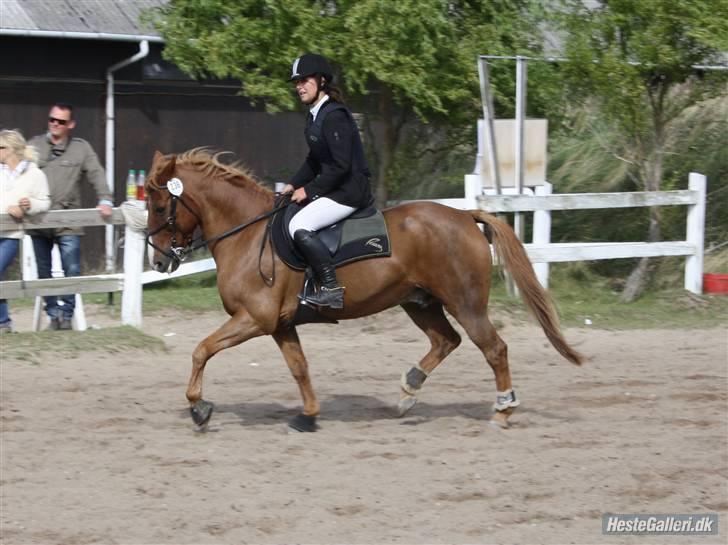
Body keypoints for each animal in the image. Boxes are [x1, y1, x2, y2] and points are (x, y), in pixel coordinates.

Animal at [145, 148, 584, 430]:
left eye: (160, 205)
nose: (159, 261)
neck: (248, 234)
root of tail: (464, 215)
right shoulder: (280, 324)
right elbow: (299, 367)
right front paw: (309, 415)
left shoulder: (254, 318)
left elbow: (201, 349)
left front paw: (199, 408)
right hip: (420, 302)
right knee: (446, 341)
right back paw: (408, 392)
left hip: (465, 303)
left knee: (494, 349)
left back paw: (502, 410)